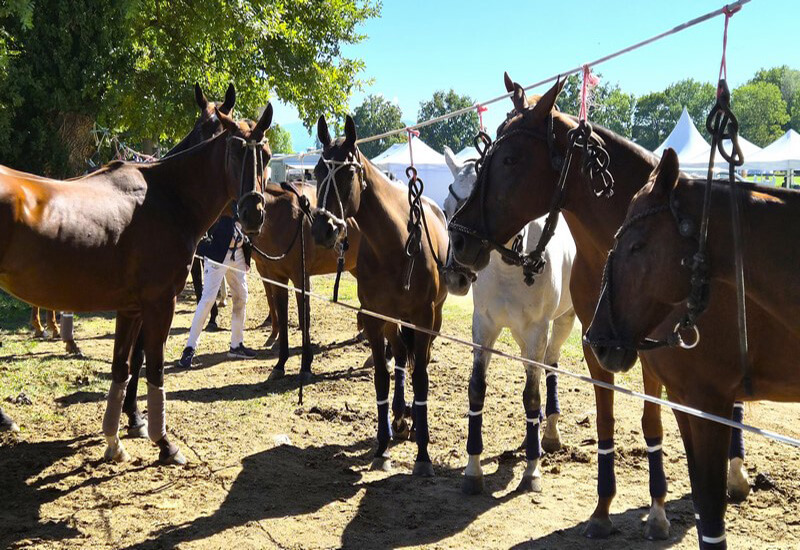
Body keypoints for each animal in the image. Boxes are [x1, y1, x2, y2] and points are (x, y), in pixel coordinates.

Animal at [0, 100, 273, 465]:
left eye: (266, 155)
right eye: (234, 151)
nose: (253, 213)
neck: (166, 198)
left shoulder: (130, 308)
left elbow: (122, 367)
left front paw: (115, 440)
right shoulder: (160, 302)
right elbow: (153, 367)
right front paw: (164, 441)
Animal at [252, 181, 361, 382]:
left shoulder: (300, 277)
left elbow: (304, 319)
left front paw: (306, 366)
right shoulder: (277, 277)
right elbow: (283, 316)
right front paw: (280, 364)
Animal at [310, 115, 448, 476]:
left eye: (347, 173)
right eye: (316, 171)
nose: (322, 229)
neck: (395, 245)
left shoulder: (423, 318)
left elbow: (422, 377)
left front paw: (423, 454)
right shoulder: (375, 318)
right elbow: (382, 377)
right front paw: (383, 446)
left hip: (432, 320)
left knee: (416, 359)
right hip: (392, 320)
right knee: (399, 354)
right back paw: (399, 416)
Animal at [441, 147, 577, 494]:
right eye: (447, 209)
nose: (457, 276)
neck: (510, 266)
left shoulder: (537, 331)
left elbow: (532, 394)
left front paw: (532, 470)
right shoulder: (484, 326)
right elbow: (476, 388)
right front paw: (472, 469)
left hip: (561, 323)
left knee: (550, 365)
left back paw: (548, 434)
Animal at [585, 147, 800, 549]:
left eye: (636, 245)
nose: (599, 340)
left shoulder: (709, 403)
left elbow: (712, 509)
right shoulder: (686, 401)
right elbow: (703, 505)